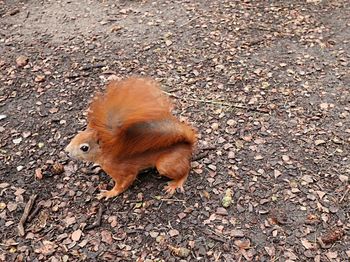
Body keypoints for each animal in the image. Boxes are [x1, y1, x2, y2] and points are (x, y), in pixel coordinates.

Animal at [65, 77, 197, 200]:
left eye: (84, 148)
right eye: (77, 135)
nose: (67, 152)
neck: (106, 153)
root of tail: (187, 145)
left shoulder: (122, 170)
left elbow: (124, 183)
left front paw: (110, 193)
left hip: (166, 164)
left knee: (185, 170)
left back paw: (176, 183)